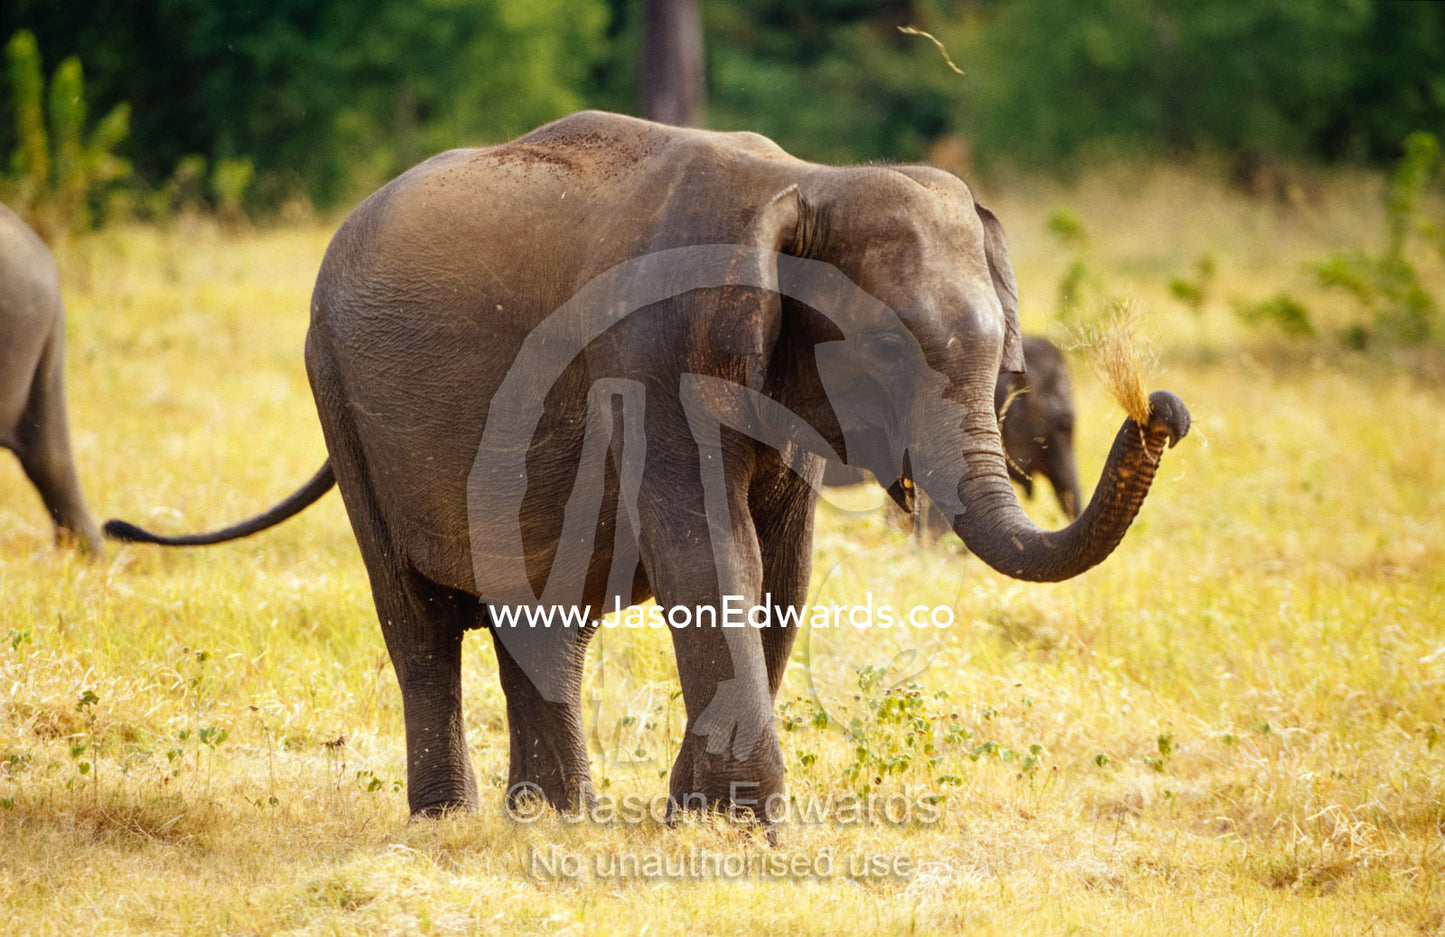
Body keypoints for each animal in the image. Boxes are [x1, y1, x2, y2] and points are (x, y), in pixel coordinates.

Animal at [105, 111, 1189, 821]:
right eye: (883, 352)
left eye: (1005, 368)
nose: (1161, 412)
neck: (808, 181)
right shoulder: (657, 356)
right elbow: (711, 551)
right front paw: (742, 825)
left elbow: (780, 571)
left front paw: (705, 817)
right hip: (337, 391)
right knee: (416, 622)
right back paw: (451, 820)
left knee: (540, 624)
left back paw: (552, 815)